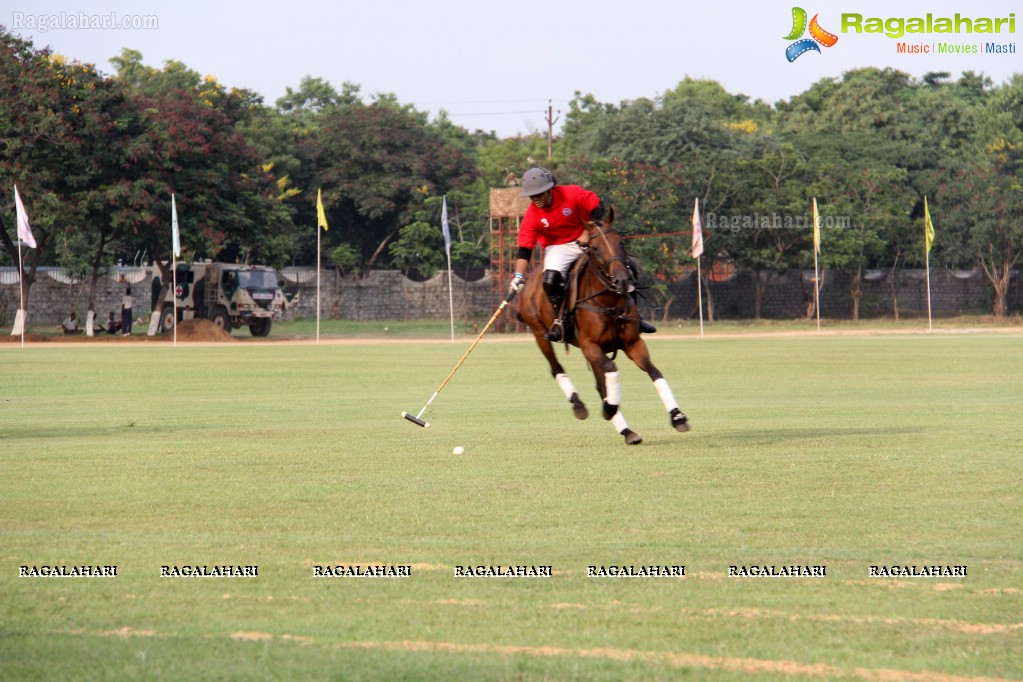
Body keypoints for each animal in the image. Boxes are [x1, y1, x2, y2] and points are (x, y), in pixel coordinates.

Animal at [519, 210, 687, 445]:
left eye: (621, 243)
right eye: (596, 248)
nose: (622, 281)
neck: (609, 301)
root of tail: (529, 280)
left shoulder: (632, 343)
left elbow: (654, 372)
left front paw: (678, 416)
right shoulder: (590, 344)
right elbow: (611, 370)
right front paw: (609, 408)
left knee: (600, 382)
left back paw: (627, 430)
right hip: (539, 333)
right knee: (556, 367)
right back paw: (580, 406)